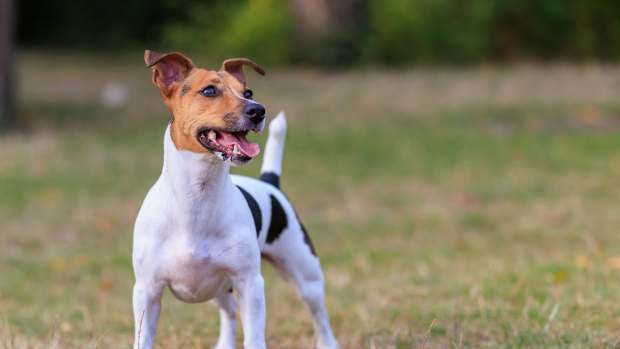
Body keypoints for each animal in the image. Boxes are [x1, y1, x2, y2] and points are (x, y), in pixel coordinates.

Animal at [133, 49, 342, 348]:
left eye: (248, 91)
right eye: (209, 90)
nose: (258, 109)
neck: (197, 196)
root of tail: (270, 182)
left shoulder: (250, 284)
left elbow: (254, 338)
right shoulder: (147, 292)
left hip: (307, 276)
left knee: (319, 315)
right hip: (218, 288)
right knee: (229, 311)